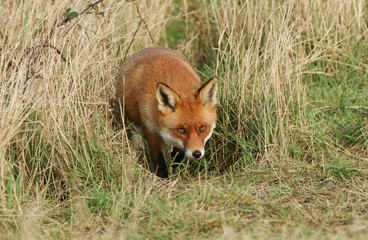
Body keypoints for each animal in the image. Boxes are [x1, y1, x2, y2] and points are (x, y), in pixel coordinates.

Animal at [116, 47, 217, 178]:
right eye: (181, 130)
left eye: (203, 129)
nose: (196, 153)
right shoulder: (150, 130)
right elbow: (160, 162)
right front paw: (164, 179)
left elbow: (178, 154)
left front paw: (175, 169)